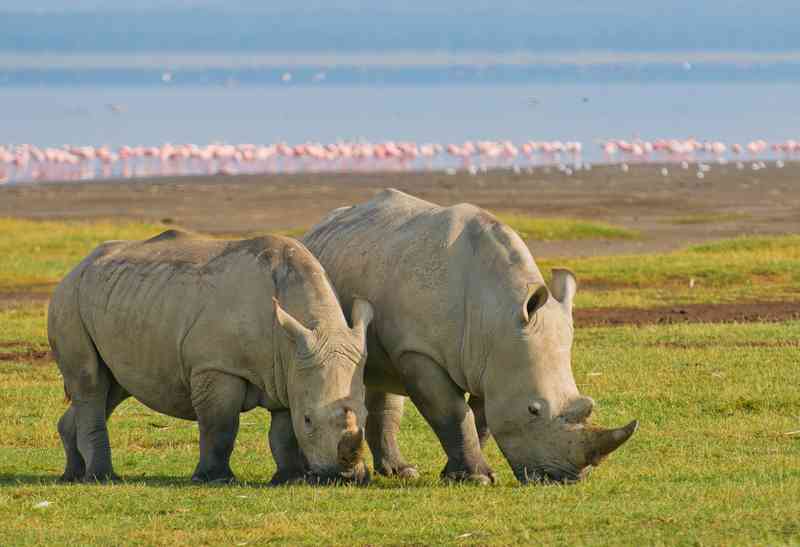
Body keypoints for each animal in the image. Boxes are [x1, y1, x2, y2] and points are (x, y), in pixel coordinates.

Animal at [48, 230, 374, 485]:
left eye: (366, 415)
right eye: (308, 420)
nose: (346, 477)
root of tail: (77, 266)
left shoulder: (288, 369)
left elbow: (283, 431)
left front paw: (288, 478)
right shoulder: (216, 367)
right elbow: (220, 426)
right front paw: (214, 478)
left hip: (118, 297)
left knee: (112, 388)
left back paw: (72, 475)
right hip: (68, 299)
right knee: (91, 383)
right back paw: (101, 477)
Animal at [303, 189, 638, 484]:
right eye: (533, 410)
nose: (565, 478)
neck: (497, 312)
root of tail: (320, 224)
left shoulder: (493, 358)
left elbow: (482, 418)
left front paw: (458, 474)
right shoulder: (419, 351)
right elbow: (453, 413)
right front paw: (477, 477)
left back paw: (403, 472)